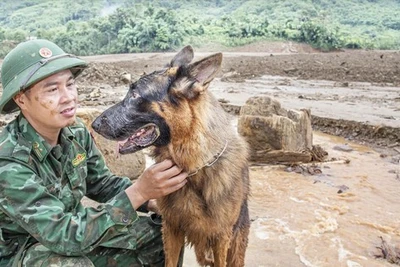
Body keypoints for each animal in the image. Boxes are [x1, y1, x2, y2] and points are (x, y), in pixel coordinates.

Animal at [92, 46, 252, 267]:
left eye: (135, 94)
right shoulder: (171, 229)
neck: (192, 167)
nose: (94, 124)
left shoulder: (221, 237)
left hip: (234, 250)